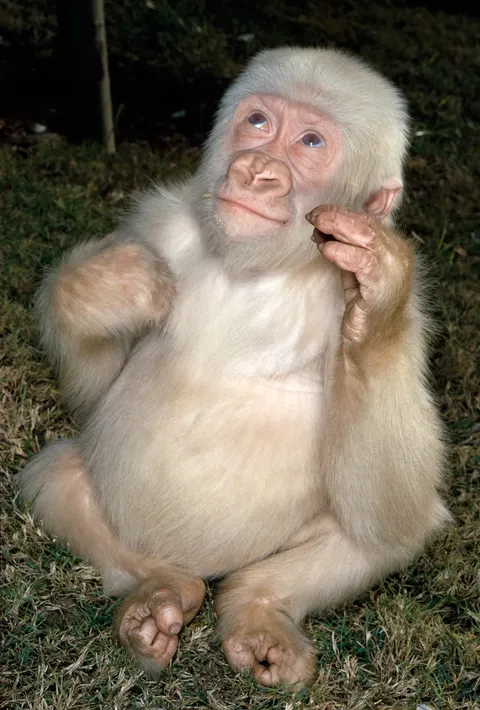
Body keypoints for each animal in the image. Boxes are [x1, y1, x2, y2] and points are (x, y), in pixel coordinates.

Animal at [19, 46, 449, 688]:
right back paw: (157, 590)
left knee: (387, 528)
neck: (262, 267)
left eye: (311, 142)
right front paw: (95, 291)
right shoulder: (156, 224)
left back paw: (257, 605)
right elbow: (95, 393)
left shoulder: (411, 315)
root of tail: (205, 566)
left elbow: (392, 500)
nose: (256, 169)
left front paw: (374, 310)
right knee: (59, 478)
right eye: (259, 122)